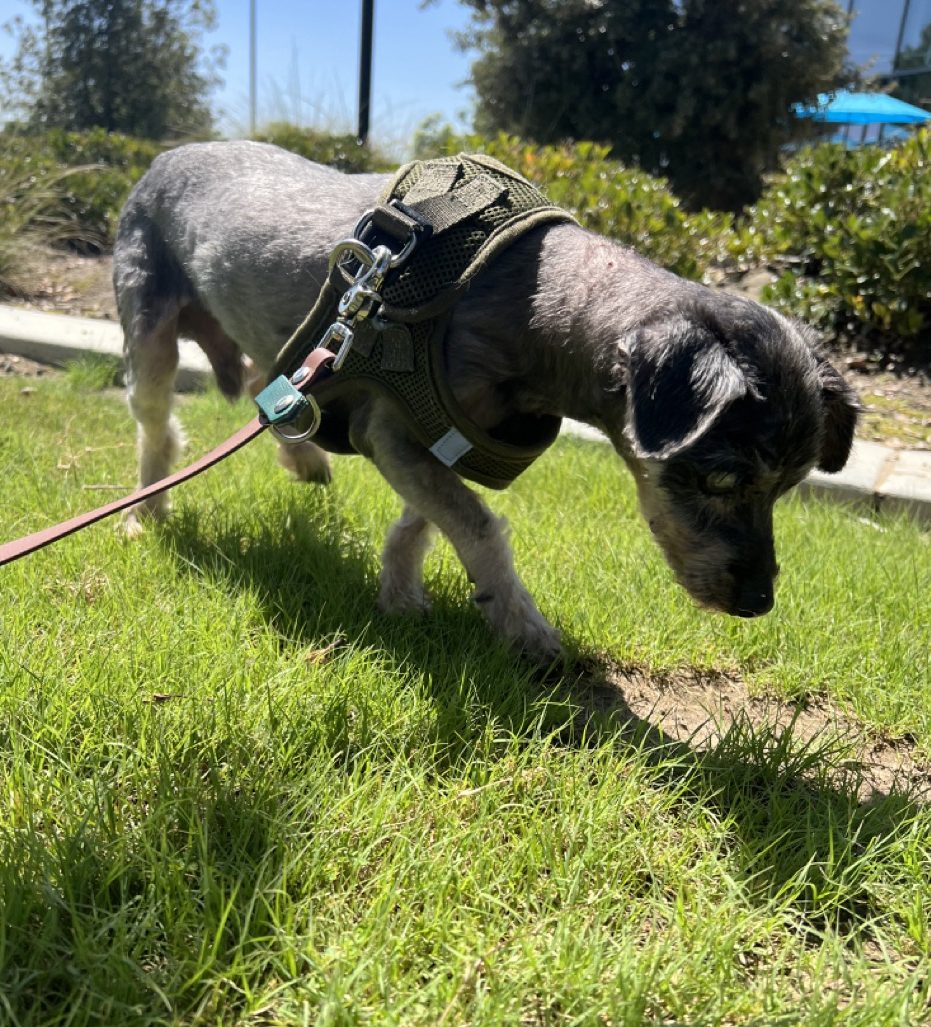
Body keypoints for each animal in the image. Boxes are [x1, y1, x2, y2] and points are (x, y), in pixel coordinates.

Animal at [114, 140, 858, 661]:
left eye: (786, 488)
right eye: (722, 479)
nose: (758, 600)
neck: (534, 301)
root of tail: (164, 156)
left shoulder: (430, 438)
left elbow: (425, 519)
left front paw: (399, 594)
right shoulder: (394, 430)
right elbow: (475, 526)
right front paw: (522, 626)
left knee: (269, 392)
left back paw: (303, 458)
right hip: (149, 328)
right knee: (157, 426)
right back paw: (146, 513)